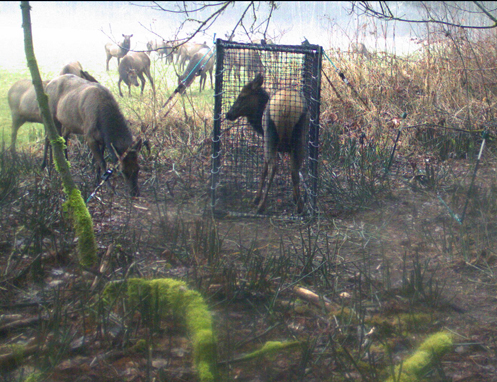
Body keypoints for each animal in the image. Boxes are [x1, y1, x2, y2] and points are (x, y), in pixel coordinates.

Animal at [226, 72, 306, 215]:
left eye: (242, 96)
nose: (228, 114)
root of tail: (286, 106)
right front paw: (296, 198)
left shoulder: (265, 140)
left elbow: (263, 170)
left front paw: (256, 198)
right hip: (299, 136)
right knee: (294, 170)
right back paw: (300, 207)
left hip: (270, 135)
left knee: (273, 167)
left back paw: (261, 205)